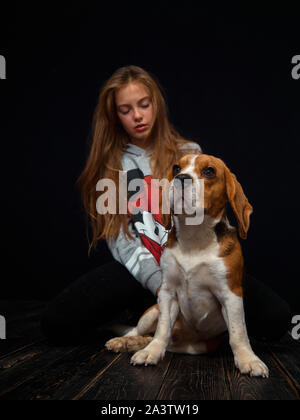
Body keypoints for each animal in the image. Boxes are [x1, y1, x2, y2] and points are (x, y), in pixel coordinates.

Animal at [105, 153, 270, 378]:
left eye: (209, 171)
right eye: (176, 168)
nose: (181, 178)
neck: (195, 236)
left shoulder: (231, 293)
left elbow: (238, 333)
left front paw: (248, 359)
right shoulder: (167, 292)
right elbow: (162, 329)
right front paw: (152, 352)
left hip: (199, 346)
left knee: (164, 342)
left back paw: (136, 343)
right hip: (151, 312)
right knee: (141, 331)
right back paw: (126, 341)